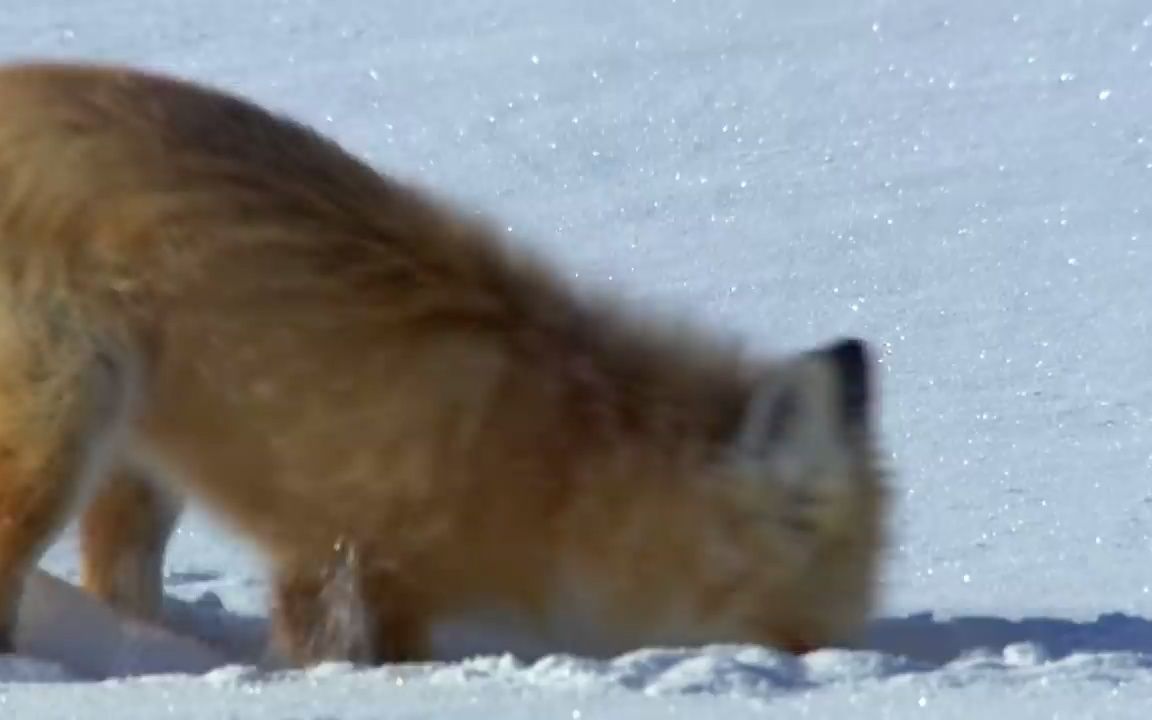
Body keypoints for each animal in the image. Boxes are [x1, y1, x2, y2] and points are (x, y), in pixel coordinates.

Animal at [0, 61, 889, 668]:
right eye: (794, 638)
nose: (832, 668)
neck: (563, 467)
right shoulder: (352, 562)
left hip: (137, 459)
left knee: (118, 581)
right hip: (63, 429)